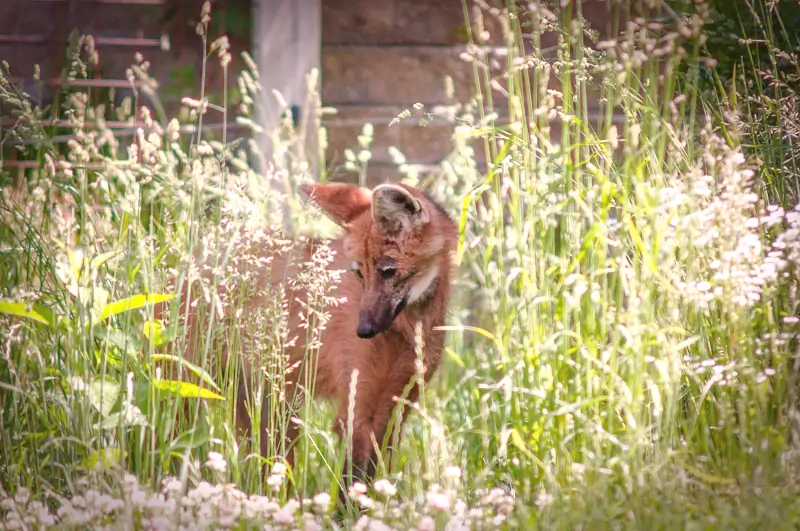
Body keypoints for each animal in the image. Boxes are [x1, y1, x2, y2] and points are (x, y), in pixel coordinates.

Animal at [162, 182, 456, 508]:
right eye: (360, 272)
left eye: (388, 270)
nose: (364, 330)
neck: (407, 328)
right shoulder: (358, 406)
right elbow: (354, 483)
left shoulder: (396, 405)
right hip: (191, 387)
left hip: (272, 405)